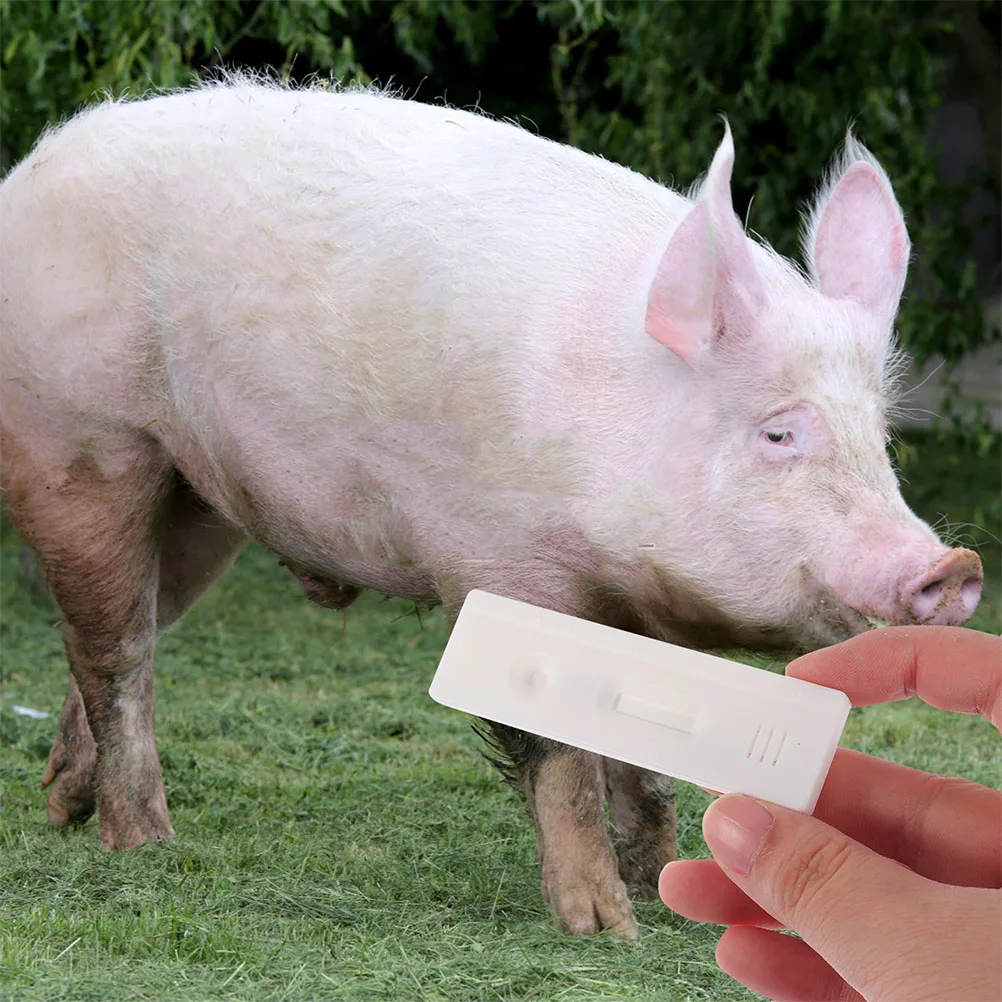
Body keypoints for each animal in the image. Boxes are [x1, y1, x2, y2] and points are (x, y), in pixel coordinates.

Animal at [0, 81, 982, 941]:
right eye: (779, 433)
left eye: (879, 437)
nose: (955, 566)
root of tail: (31, 169)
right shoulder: (506, 568)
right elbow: (560, 753)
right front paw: (607, 931)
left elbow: (641, 752)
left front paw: (660, 888)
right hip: (81, 442)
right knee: (115, 647)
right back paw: (147, 845)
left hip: (199, 495)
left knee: (130, 628)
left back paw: (66, 807)